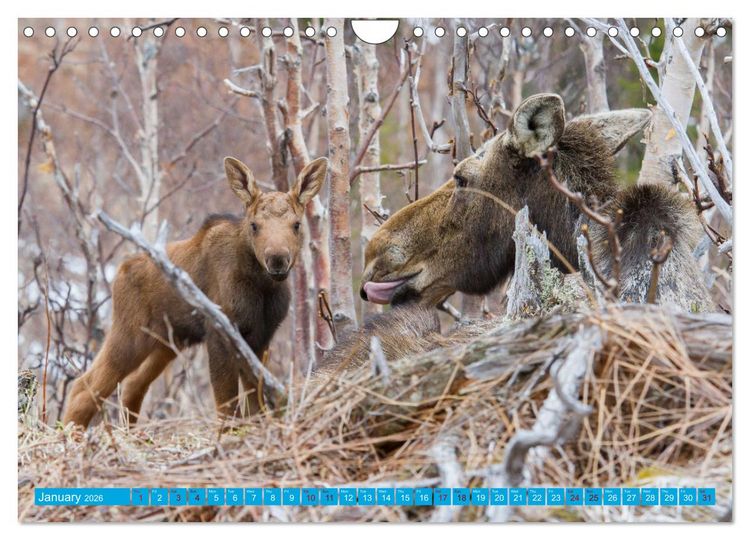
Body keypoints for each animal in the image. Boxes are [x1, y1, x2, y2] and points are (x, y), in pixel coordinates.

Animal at [63, 156, 328, 428]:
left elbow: (255, 402)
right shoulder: (220, 332)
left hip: (166, 342)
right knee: (84, 386)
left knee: (132, 384)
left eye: (296, 224)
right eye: (254, 225)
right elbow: (226, 405)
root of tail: (120, 271)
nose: (277, 259)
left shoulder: (261, 336)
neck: (262, 288)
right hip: (130, 335)